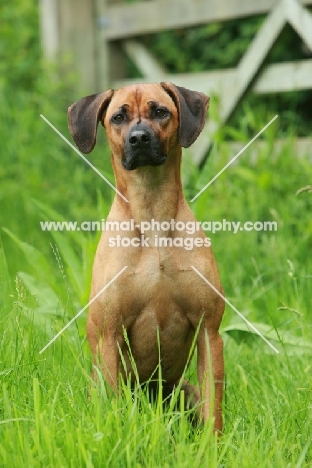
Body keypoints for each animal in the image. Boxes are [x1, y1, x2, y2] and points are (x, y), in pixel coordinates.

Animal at [67, 80, 224, 432]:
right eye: (118, 117)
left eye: (160, 111)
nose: (139, 138)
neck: (152, 213)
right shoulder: (110, 335)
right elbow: (112, 400)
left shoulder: (209, 331)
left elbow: (214, 409)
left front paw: (214, 444)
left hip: (184, 391)